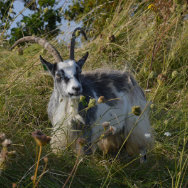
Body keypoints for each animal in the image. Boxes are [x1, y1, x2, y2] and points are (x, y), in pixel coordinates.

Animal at [10, 27, 153, 161]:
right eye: (58, 75)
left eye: (78, 72)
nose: (76, 88)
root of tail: (129, 77)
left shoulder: (86, 135)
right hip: (114, 131)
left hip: (136, 124)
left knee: (141, 147)